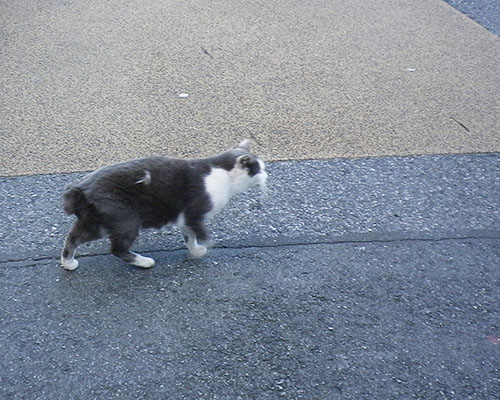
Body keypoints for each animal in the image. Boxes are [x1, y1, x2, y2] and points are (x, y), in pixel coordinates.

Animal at [60, 139, 268, 270]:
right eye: (258, 169)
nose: (267, 176)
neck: (223, 176)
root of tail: (80, 190)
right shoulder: (194, 214)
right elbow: (200, 233)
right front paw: (208, 245)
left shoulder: (185, 219)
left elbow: (189, 237)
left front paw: (195, 252)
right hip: (125, 219)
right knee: (117, 248)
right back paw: (144, 262)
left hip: (96, 222)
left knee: (73, 238)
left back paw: (68, 263)